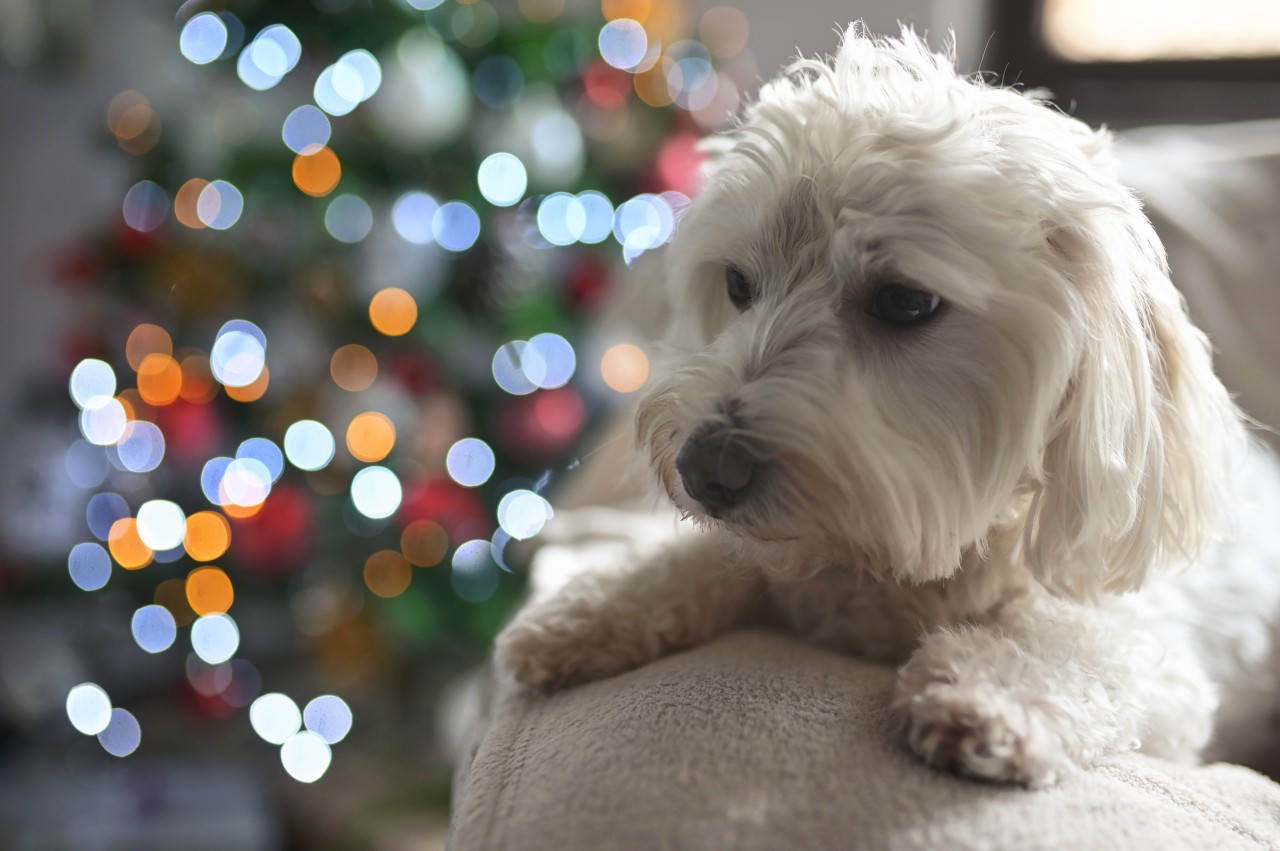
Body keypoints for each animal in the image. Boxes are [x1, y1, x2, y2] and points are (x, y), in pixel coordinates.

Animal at [494, 24, 1280, 783]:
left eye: (905, 302)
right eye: (739, 285)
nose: (704, 469)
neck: (883, 570)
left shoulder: (1157, 661)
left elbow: (1080, 642)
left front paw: (995, 695)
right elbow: (710, 556)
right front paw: (592, 605)